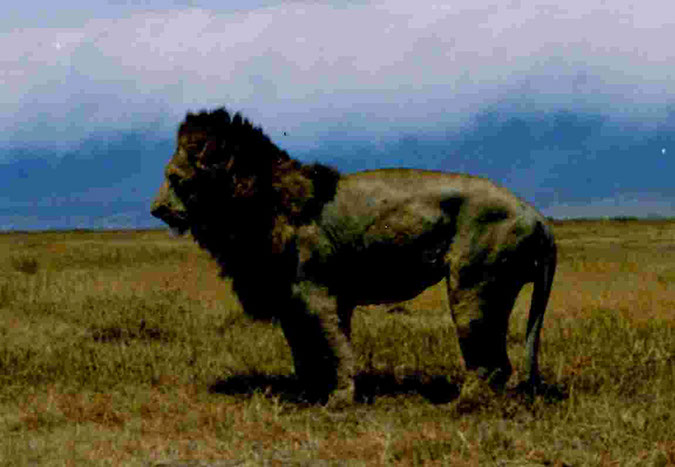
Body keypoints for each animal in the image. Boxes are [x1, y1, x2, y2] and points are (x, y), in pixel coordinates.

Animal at [151, 107, 557, 403]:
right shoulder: (292, 301)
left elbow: (335, 348)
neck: (261, 204)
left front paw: (340, 401)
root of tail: (535, 214)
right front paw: (307, 396)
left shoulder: (319, 295)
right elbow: (304, 353)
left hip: (474, 286)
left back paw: (463, 404)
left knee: (492, 363)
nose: (156, 209)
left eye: (175, 178)